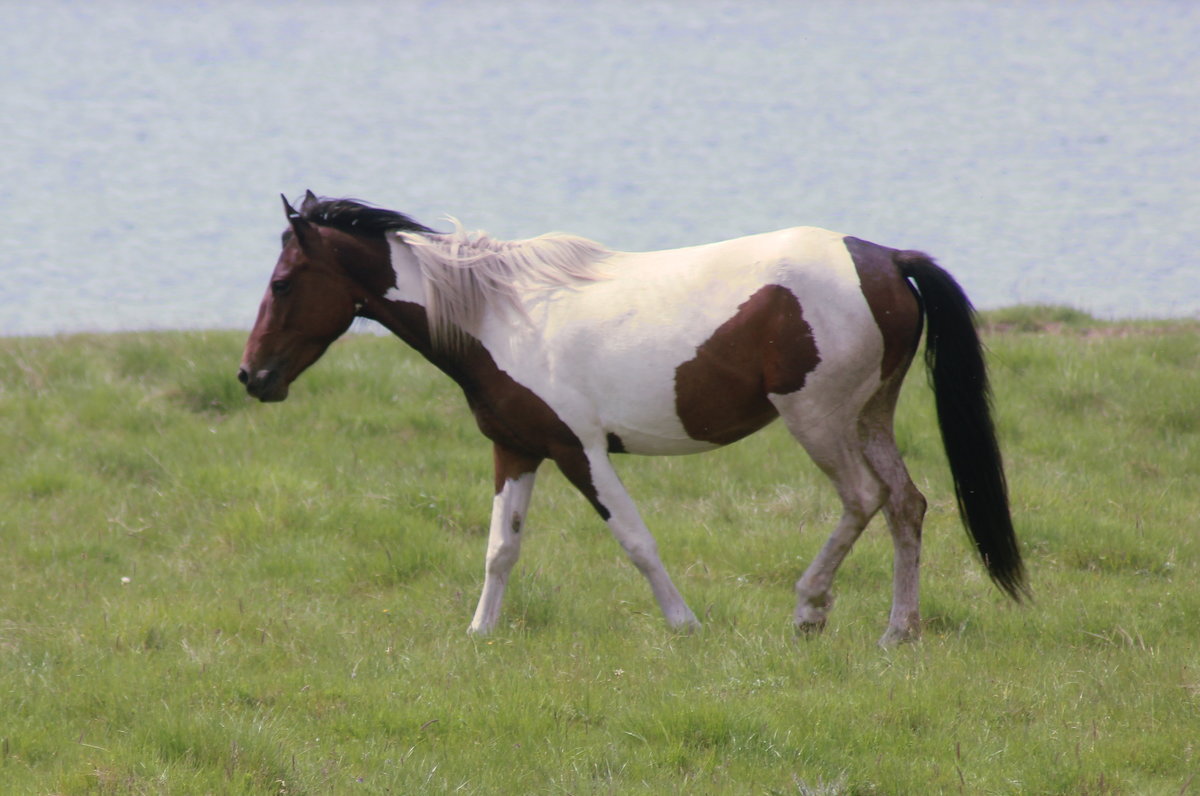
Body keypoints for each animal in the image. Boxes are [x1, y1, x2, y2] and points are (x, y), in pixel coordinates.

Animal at [238, 193, 1027, 648]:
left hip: (819, 419)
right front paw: (481, 636)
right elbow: (501, 548)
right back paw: (899, 632)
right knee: (905, 505)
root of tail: (885, 259)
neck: (500, 316)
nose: (252, 376)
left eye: (284, 282)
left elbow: (637, 542)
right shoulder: (516, 450)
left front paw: (686, 626)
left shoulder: (579, 451)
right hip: (870, 415)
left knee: (862, 500)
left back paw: (809, 611)